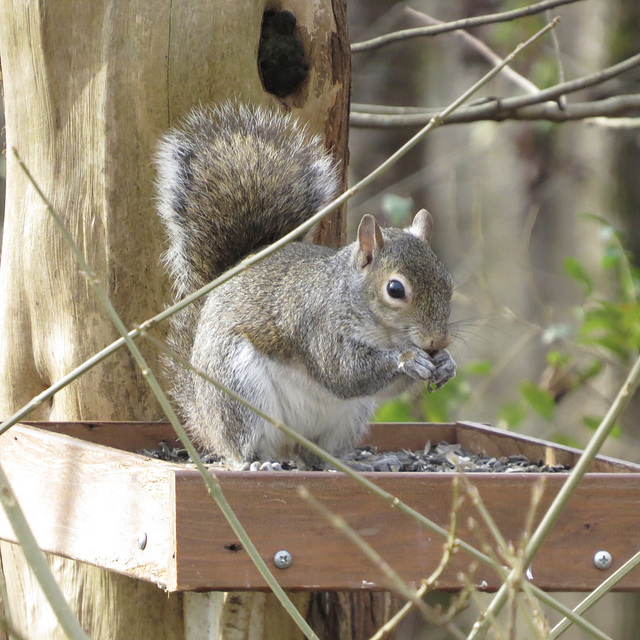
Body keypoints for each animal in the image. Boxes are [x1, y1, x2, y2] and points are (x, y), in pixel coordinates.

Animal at [154, 102, 456, 468]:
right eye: (395, 290)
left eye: (448, 282)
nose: (438, 340)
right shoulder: (318, 327)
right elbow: (344, 373)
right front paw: (410, 359)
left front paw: (446, 363)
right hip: (238, 391)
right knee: (240, 445)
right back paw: (253, 462)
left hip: (347, 420)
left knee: (318, 458)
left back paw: (357, 462)